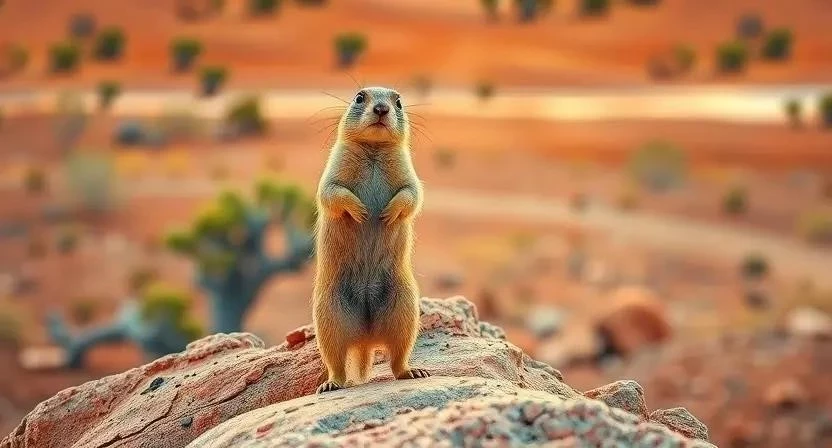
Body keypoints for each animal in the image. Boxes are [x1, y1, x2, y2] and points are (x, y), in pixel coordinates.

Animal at [312, 86, 429, 393]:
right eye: (359, 97)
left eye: (398, 101)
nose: (381, 109)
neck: (374, 150)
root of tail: (365, 339)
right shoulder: (333, 167)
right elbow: (331, 192)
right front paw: (360, 211)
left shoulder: (409, 170)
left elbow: (412, 194)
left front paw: (388, 213)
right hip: (329, 317)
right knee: (336, 362)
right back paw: (331, 384)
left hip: (404, 309)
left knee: (397, 358)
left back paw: (414, 371)